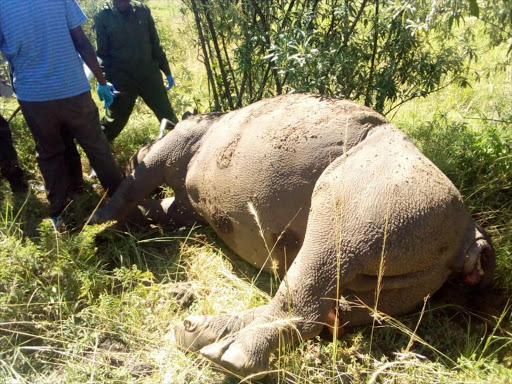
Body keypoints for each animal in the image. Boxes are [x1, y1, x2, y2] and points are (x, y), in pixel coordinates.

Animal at [90, 94, 494, 378]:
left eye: (139, 149)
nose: (134, 153)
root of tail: (467, 235)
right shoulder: (186, 206)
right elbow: (163, 207)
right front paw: (127, 222)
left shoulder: (174, 144)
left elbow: (133, 185)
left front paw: (94, 228)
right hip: (414, 256)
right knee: (338, 304)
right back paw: (197, 333)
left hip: (380, 200)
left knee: (318, 264)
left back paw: (225, 356)